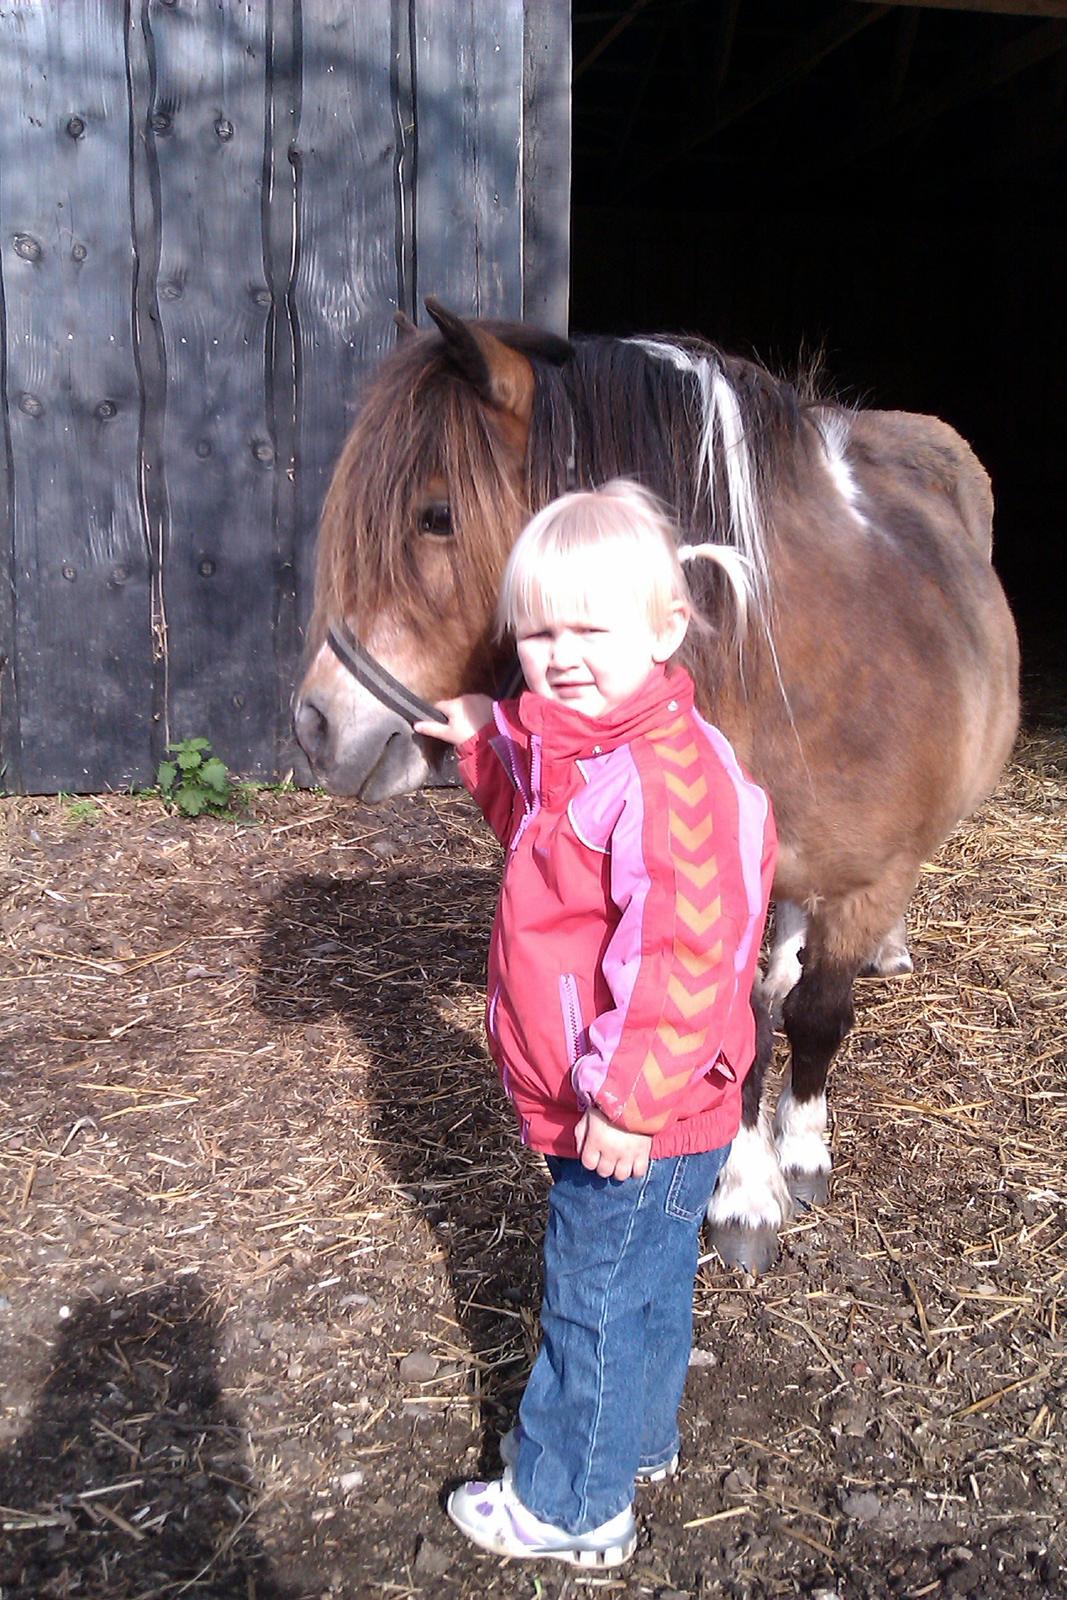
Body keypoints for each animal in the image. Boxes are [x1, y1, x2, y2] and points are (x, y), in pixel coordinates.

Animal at [293, 299, 1020, 1271]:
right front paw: (744, 1190)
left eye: (435, 515)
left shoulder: (869, 878)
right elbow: (737, 1029)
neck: (795, 676)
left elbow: (818, 1017)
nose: (315, 725)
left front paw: (800, 1151)